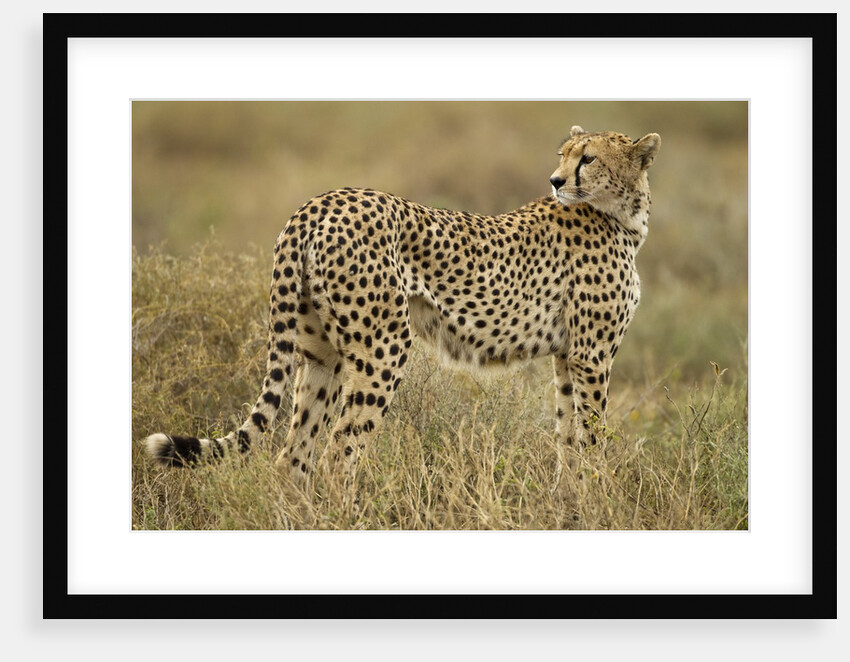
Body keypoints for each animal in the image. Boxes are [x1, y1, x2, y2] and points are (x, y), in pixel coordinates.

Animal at [145, 125, 661, 493]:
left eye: (587, 158)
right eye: (564, 155)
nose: (555, 182)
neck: (623, 217)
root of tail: (319, 201)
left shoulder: (568, 356)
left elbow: (567, 436)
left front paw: (569, 501)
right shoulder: (592, 356)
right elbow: (591, 435)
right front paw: (597, 500)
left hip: (321, 355)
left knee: (293, 457)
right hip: (384, 348)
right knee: (337, 455)